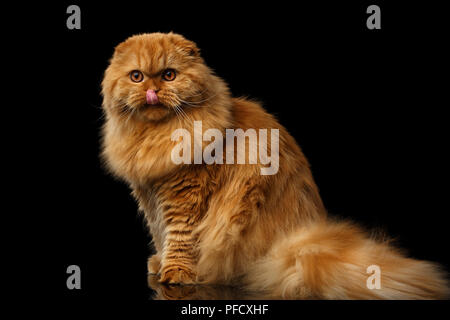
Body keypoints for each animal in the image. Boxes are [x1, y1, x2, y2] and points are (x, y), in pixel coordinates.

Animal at [100, 32, 448, 300]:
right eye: (136, 76)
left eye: (169, 75)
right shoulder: (150, 195)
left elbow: (180, 237)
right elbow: (160, 233)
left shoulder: (185, 195)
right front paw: (159, 262)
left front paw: (176, 272)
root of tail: (298, 242)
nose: (152, 91)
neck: (153, 136)